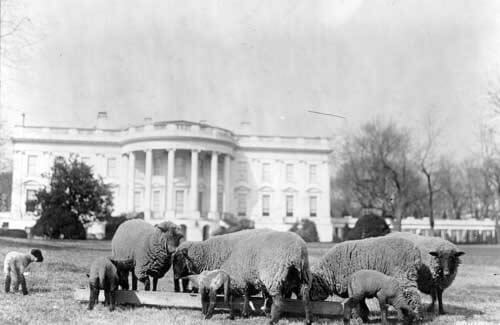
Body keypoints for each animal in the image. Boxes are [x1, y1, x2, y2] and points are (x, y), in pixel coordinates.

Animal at [173, 228, 312, 324]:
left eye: (178, 259)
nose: (175, 277)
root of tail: (298, 251)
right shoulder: (243, 278)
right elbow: (245, 295)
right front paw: (244, 313)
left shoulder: (235, 277)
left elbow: (234, 297)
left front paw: (238, 314)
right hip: (302, 277)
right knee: (305, 299)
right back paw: (307, 320)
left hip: (273, 276)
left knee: (278, 301)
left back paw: (273, 321)